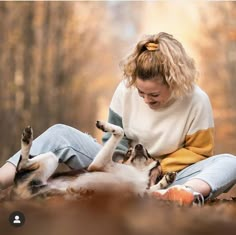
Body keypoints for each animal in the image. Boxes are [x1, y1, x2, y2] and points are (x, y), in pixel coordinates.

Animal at [11, 121, 177, 200]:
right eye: (128, 152)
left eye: (148, 153)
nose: (138, 146)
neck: (138, 171)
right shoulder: (99, 164)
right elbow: (120, 131)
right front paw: (105, 126)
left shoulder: (140, 194)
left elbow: (153, 189)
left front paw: (166, 180)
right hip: (51, 158)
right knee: (21, 164)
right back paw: (27, 139)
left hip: (52, 167)